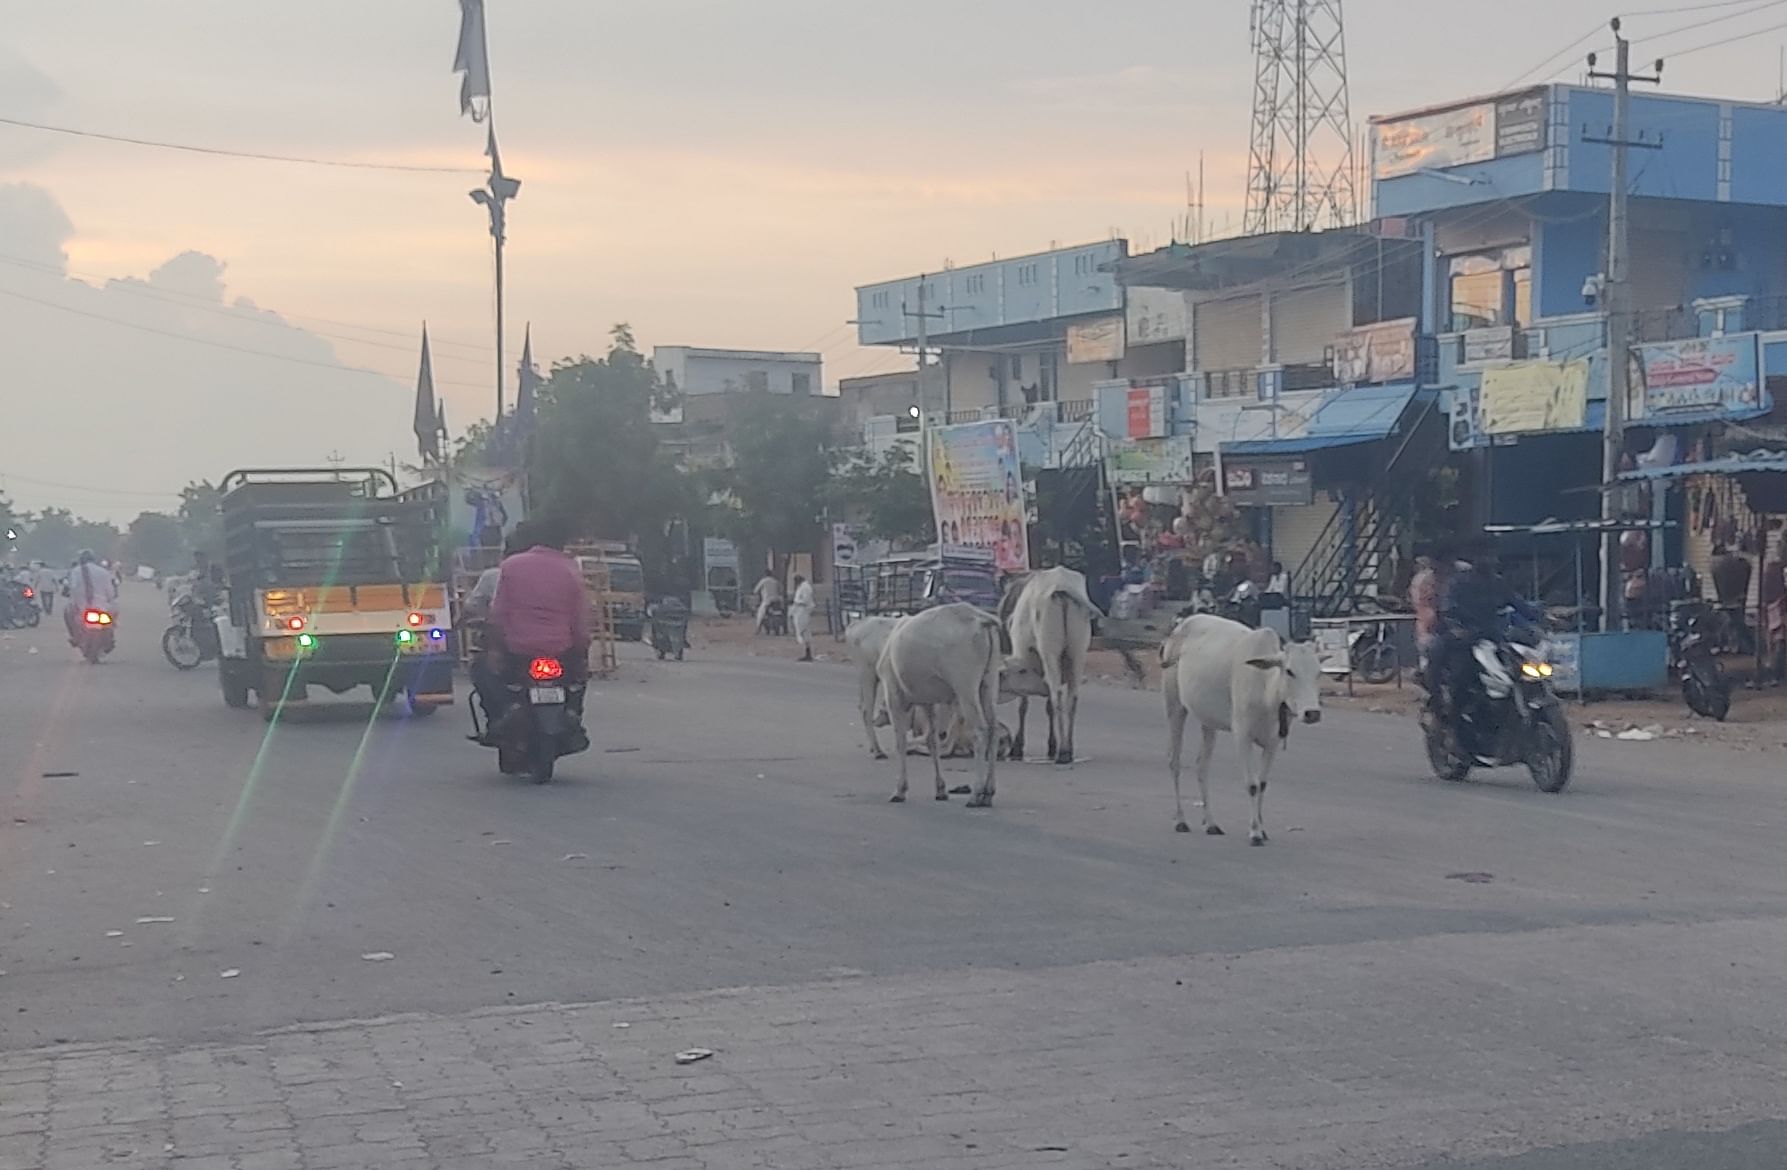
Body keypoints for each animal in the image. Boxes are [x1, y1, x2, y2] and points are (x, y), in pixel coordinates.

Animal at [879, 603, 1007, 807]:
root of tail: (981, 620)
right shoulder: (928, 702)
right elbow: (933, 740)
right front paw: (940, 789)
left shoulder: (894, 696)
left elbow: (901, 741)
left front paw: (900, 790)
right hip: (989, 683)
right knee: (994, 729)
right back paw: (988, 793)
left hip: (965, 686)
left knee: (980, 730)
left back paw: (975, 794)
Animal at [1000, 571, 1093, 768]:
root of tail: (1062, 587)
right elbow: (1048, 705)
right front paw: (1052, 745)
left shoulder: (1022, 660)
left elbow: (1023, 703)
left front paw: (1018, 747)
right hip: (1078, 652)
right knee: (1071, 698)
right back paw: (1068, 747)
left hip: (1049, 649)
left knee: (1057, 695)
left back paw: (1063, 753)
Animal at [1165, 614, 1322, 850]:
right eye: (1289, 671)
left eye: (1318, 673)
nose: (1312, 713)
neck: (1266, 688)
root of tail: (1181, 625)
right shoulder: (1242, 737)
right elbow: (1252, 785)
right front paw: (1255, 833)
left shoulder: (1273, 742)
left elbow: (1263, 784)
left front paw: (1262, 829)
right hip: (1175, 707)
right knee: (1174, 763)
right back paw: (1180, 820)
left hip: (1208, 722)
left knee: (1202, 766)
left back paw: (1211, 823)